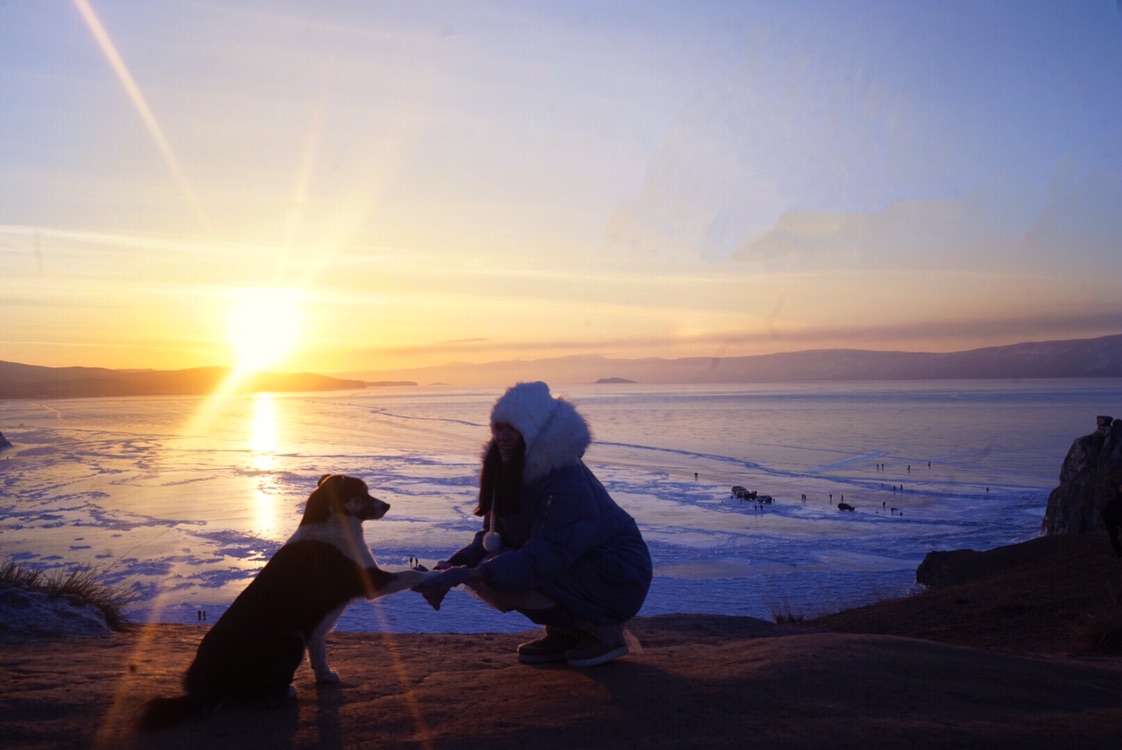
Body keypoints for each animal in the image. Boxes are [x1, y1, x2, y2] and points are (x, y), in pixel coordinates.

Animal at [140, 473, 428, 727]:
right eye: (363, 492)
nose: (387, 505)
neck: (332, 525)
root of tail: (205, 688)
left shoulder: (316, 628)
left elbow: (320, 654)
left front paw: (325, 676)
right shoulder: (372, 582)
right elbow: (410, 574)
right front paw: (429, 577)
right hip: (291, 639)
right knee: (246, 694)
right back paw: (285, 691)